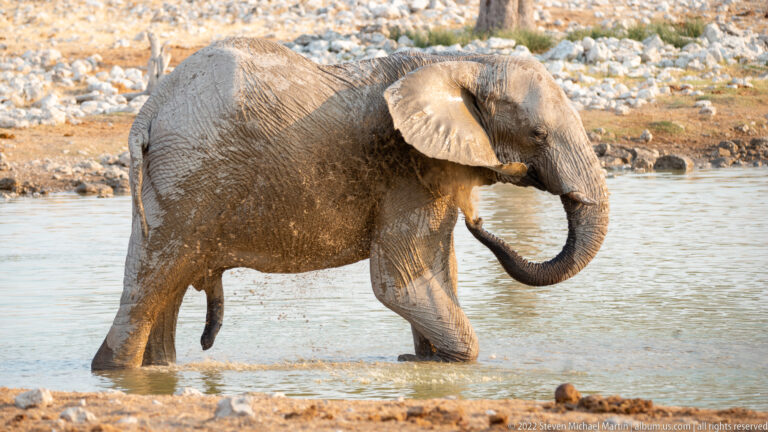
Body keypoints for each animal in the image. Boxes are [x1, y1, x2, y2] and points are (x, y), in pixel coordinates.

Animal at [91, 37, 609, 370]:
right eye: (537, 134)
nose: (478, 220)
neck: (462, 61)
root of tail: (149, 109)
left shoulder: (430, 169)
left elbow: (441, 271)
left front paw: (423, 361)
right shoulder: (405, 168)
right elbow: (398, 280)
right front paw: (441, 360)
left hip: (171, 183)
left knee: (166, 282)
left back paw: (157, 371)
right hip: (190, 177)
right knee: (156, 279)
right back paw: (116, 371)